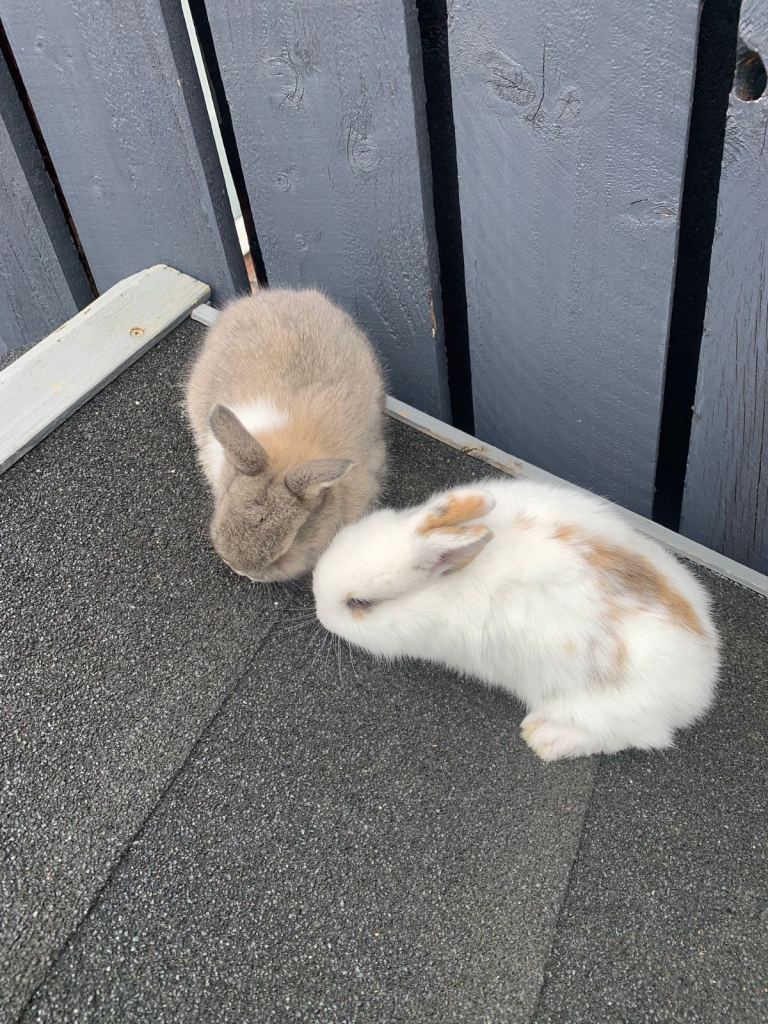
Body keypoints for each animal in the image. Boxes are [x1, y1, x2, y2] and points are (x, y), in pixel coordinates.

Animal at [312, 479, 720, 760]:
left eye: (359, 603)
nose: (318, 610)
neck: (444, 585)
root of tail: (703, 681)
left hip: (606, 709)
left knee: (634, 736)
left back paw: (544, 739)